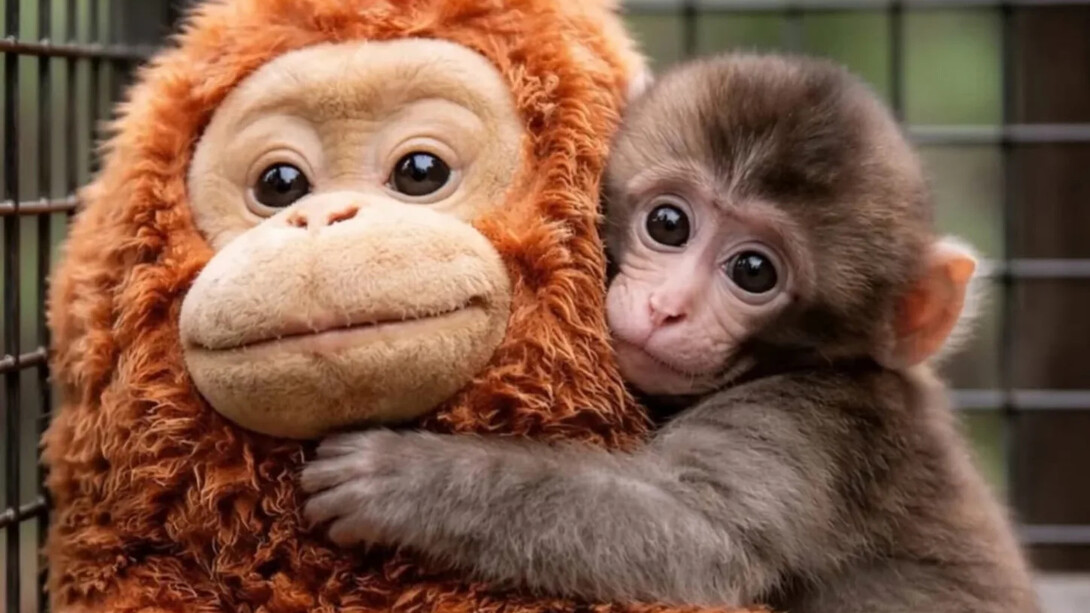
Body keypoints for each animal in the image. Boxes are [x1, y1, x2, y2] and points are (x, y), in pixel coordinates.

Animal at [300, 53, 1040, 613]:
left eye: (753, 270)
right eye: (669, 224)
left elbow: (692, 535)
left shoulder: (814, 422)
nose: (667, 308)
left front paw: (401, 475)